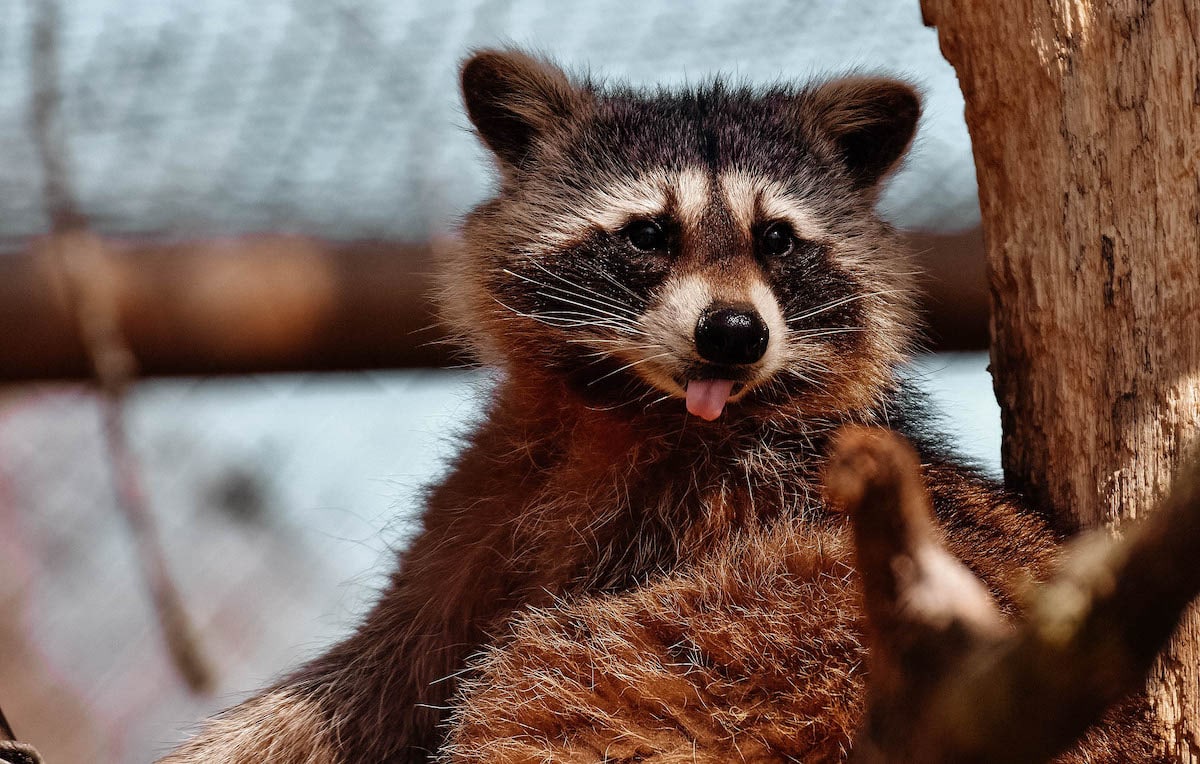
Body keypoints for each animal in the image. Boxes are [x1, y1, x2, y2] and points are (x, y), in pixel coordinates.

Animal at [157, 50, 1152, 758]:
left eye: (777, 239)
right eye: (647, 234)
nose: (735, 333)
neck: (634, 409)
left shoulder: (754, 506)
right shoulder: (496, 488)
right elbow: (379, 668)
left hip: (782, 641)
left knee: (547, 682)